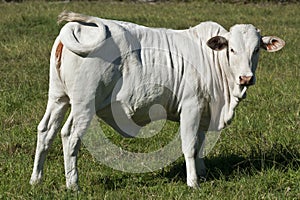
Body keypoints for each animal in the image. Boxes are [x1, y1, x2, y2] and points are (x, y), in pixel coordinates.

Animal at [30, 11, 286, 190]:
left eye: (257, 50)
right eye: (232, 50)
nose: (246, 77)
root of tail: (75, 26)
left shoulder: (204, 110)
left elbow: (201, 144)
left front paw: (202, 172)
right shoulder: (191, 106)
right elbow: (190, 146)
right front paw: (193, 182)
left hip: (59, 98)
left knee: (46, 131)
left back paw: (36, 179)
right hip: (84, 104)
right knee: (70, 136)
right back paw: (73, 184)